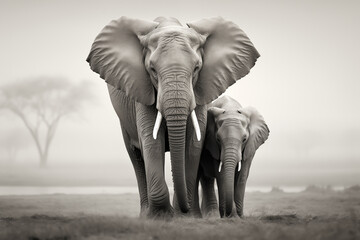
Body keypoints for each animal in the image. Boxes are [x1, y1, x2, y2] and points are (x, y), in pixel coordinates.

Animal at [87, 15, 258, 217]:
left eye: (196, 68)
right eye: (152, 70)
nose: (183, 209)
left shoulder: (201, 90)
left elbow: (193, 144)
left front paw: (186, 217)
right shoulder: (142, 90)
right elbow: (152, 141)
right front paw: (162, 216)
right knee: (136, 157)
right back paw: (145, 215)